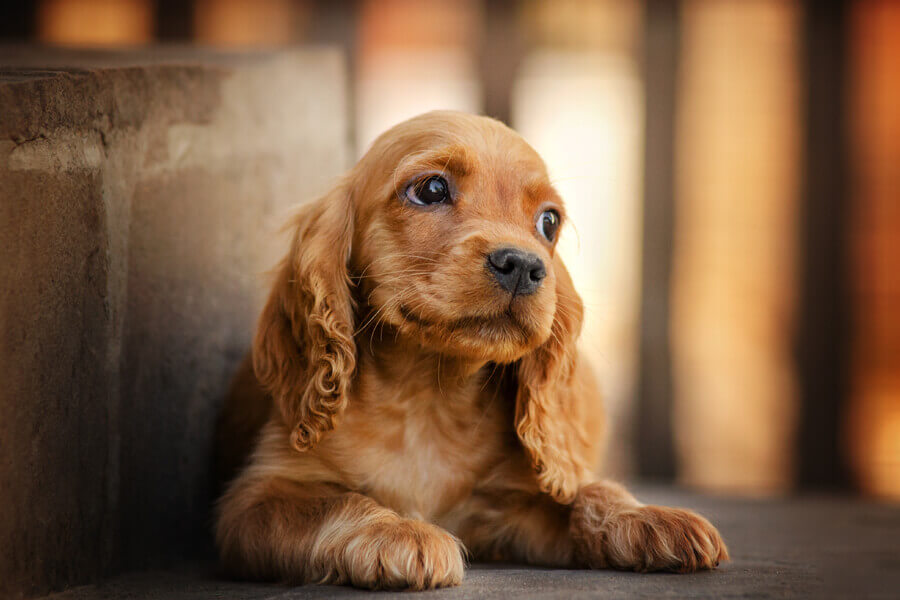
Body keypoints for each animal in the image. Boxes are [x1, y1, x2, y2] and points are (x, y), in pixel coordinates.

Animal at [214, 110, 728, 588]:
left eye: (549, 221)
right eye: (431, 190)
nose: (522, 265)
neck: (428, 397)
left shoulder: (512, 505)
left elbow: (585, 494)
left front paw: (647, 517)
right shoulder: (257, 500)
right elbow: (333, 502)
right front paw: (400, 533)